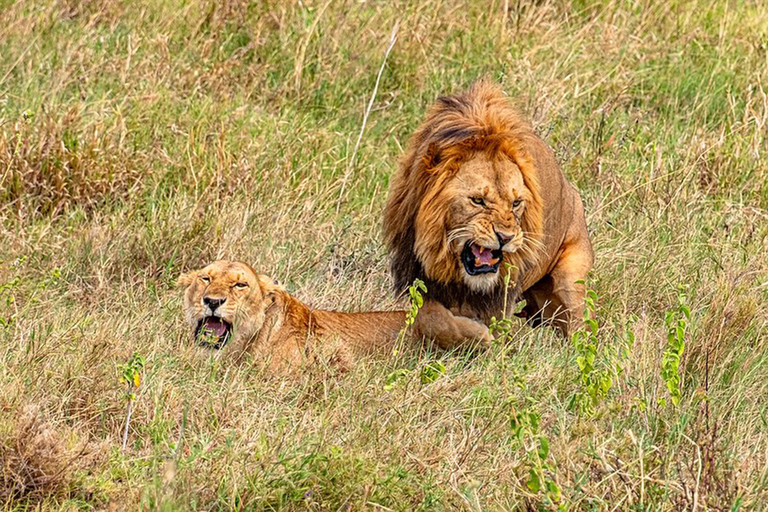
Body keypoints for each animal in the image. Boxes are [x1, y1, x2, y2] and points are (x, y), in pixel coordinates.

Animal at [384, 81, 592, 348]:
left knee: (579, 330)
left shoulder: (498, 294)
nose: (505, 238)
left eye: (516, 203)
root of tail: (572, 191)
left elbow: (491, 325)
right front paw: (469, 334)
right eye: (478, 200)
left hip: (570, 282)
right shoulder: (420, 276)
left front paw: (481, 338)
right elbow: (429, 318)